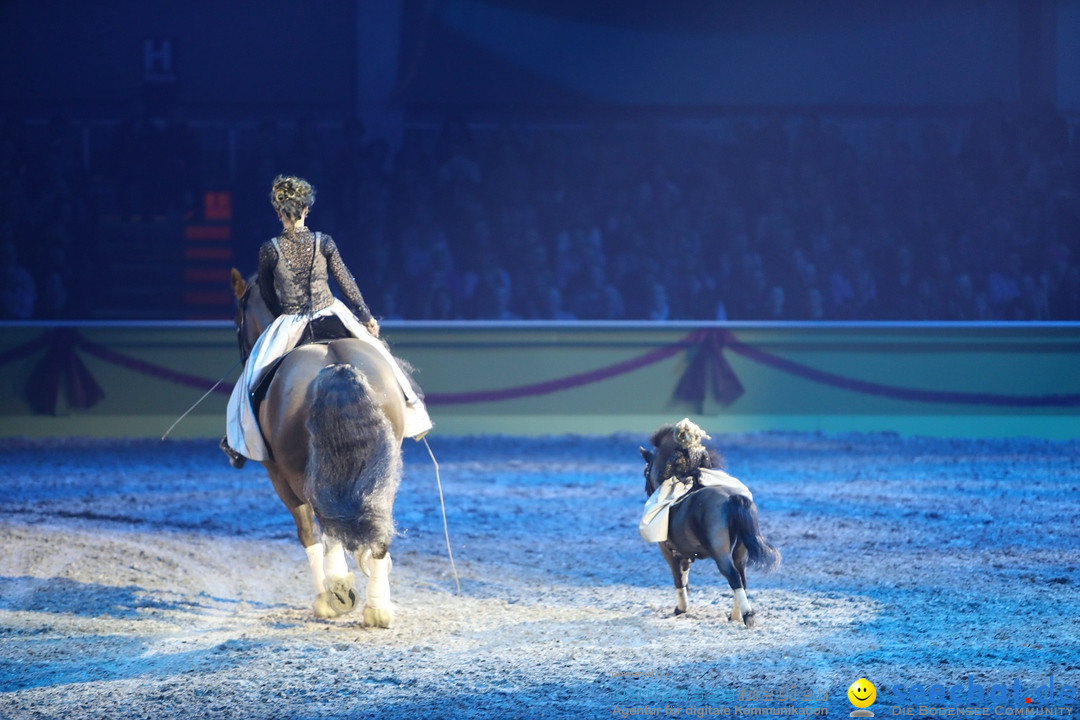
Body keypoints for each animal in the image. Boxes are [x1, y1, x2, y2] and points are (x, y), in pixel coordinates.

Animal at [230, 267, 406, 626]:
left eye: (237, 322)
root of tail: (335, 364)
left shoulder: (277, 474)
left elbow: (306, 532)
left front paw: (327, 596)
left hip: (296, 471)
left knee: (323, 520)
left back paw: (338, 589)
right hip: (385, 463)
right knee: (378, 513)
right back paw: (378, 606)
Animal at [635, 423, 781, 626]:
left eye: (646, 471)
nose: (647, 490)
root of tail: (731, 498)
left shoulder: (668, 553)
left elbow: (678, 579)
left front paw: (681, 608)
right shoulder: (684, 554)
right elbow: (685, 574)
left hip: (721, 553)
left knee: (733, 576)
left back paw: (747, 615)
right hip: (740, 553)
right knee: (742, 577)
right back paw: (735, 615)